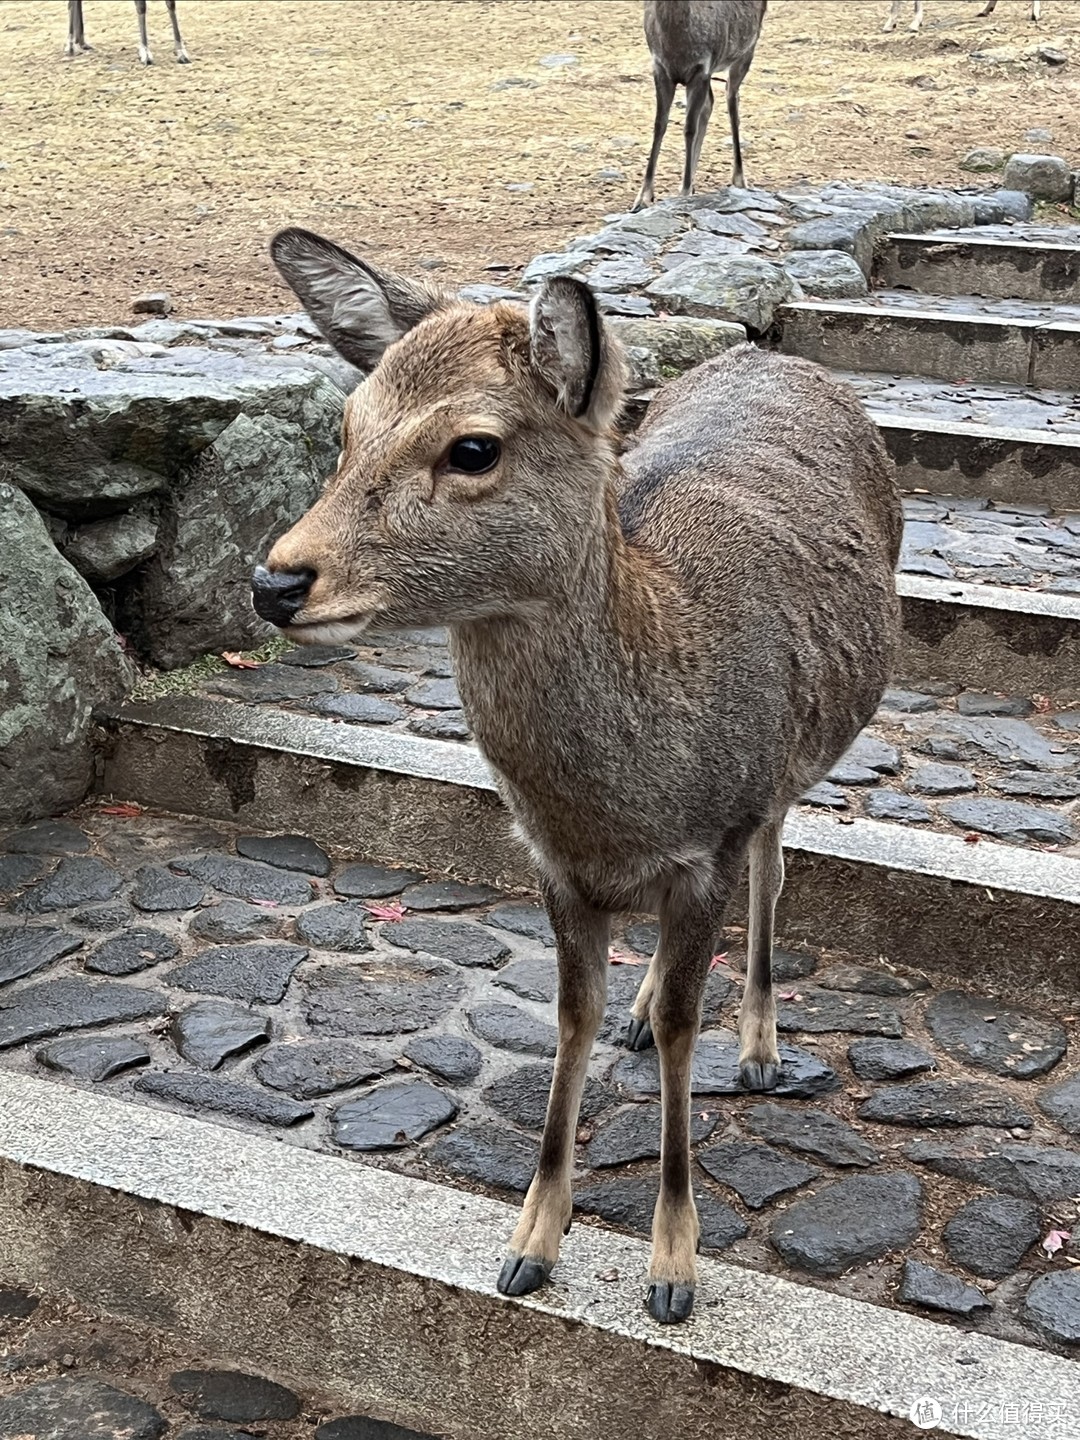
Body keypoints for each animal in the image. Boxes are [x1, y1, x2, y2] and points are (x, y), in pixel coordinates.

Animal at [253, 227, 904, 1324]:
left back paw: (761, 1047)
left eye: (473, 447)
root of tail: (776, 352)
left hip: (789, 764)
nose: (277, 580)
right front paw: (530, 1243)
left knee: (775, 868)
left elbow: (688, 1027)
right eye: (344, 428)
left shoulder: (711, 839)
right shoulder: (552, 866)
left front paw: (673, 1268)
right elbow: (570, 1018)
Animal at [630, 0, 771, 211]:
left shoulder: (702, 68)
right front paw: (643, 197)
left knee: (731, 98)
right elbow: (659, 126)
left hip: (747, 49)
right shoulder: (660, 68)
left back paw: (738, 179)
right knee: (710, 103)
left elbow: (689, 129)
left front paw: (685, 191)